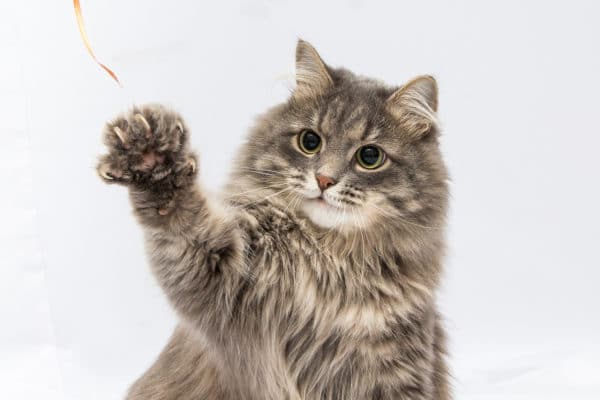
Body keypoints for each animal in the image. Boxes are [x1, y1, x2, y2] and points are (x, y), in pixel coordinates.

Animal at [97, 40, 450, 400]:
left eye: (370, 156)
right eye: (310, 141)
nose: (324, 180)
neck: (329, 256)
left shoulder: (396, 368)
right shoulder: (219, 274)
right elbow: (180, 219)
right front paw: (151, 158)